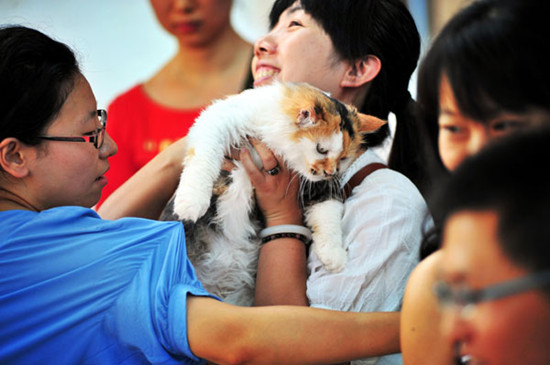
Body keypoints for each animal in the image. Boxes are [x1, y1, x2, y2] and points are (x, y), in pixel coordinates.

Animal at [164, 82, 388, 304]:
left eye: (343, 158)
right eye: (321, 150)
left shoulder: (318, 186)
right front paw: (191, 203)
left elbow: (328, 217)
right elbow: (204, 157)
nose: (331, 172)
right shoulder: (219, 119)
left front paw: (334, 257)